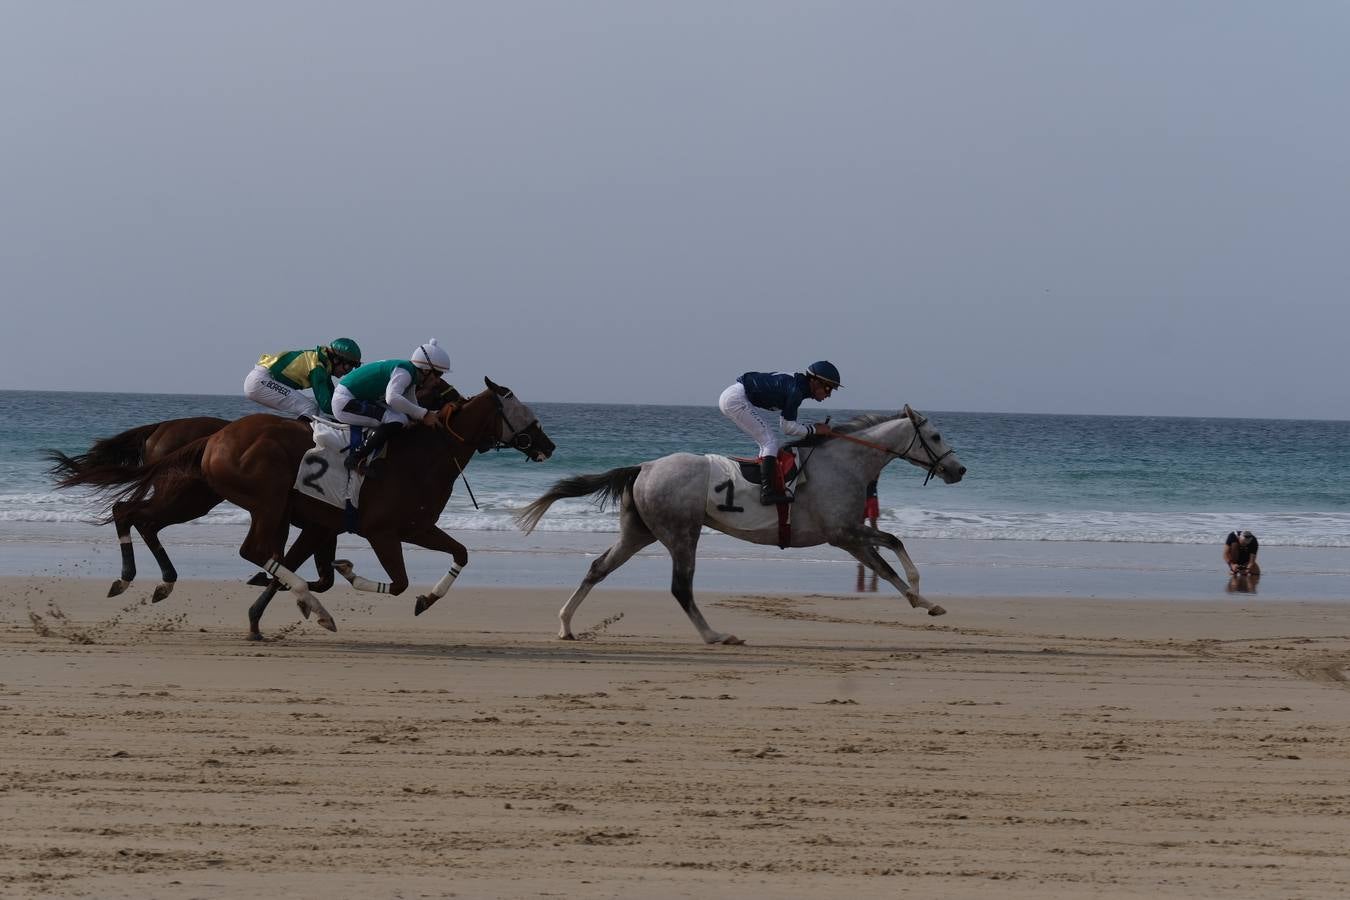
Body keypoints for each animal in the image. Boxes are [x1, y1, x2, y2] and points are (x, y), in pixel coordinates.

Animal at [69, 377, 548, 636]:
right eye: (522, 412)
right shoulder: (380, 530)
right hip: (254, 498)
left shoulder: (389, 527)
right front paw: (338, 581)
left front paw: (427, 599)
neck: (419, 454)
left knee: (134, 515)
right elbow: (393, 582)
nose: (549, 444)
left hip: (202, 498)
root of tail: (214, 437)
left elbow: (458, 554)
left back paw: (149, 581)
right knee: (239, 545)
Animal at [510, 404, 966, 644]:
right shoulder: (843, 534)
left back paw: (566, 625)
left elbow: (889, 556)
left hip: (639, 532)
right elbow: (893, 548)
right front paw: (922, 595)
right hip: (682, 533)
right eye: (937, 437)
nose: (959, 470)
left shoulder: (850, 536)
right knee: (680, 587)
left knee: (597, 569)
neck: (844, 463)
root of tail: (644, 467)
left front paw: (926, 601)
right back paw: (715, 635)